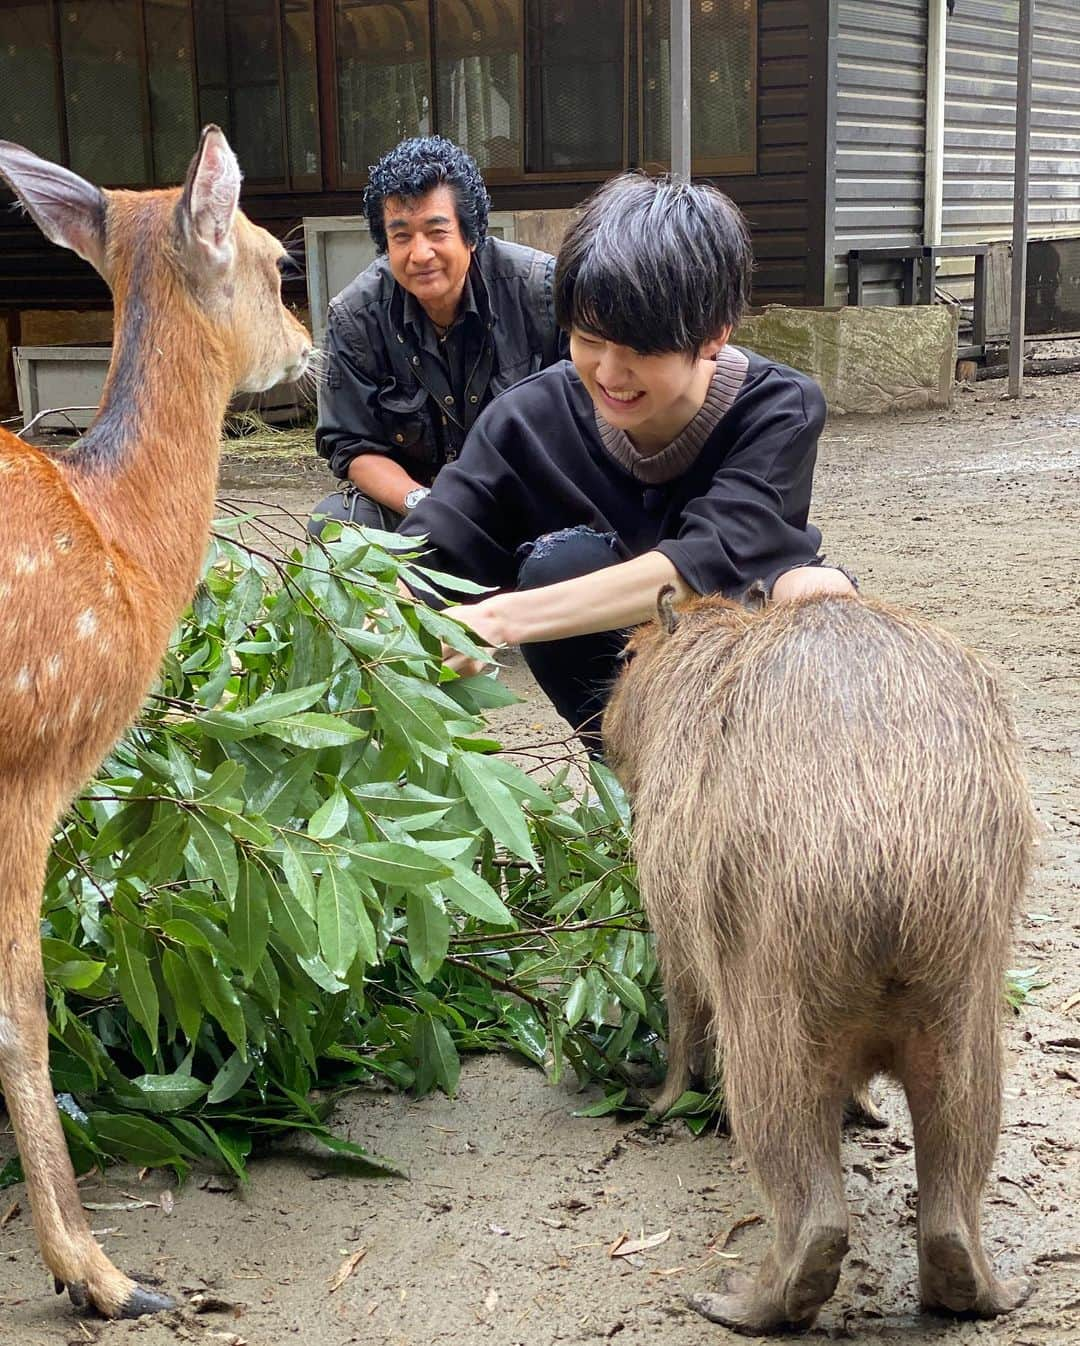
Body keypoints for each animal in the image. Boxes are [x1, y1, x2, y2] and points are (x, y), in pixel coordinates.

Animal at [0, 126, 311, 1313]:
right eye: (281, 262)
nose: (311, 345)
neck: (121, 543)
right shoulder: (30, 765)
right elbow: (22, 1018)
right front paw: (99, 1274)